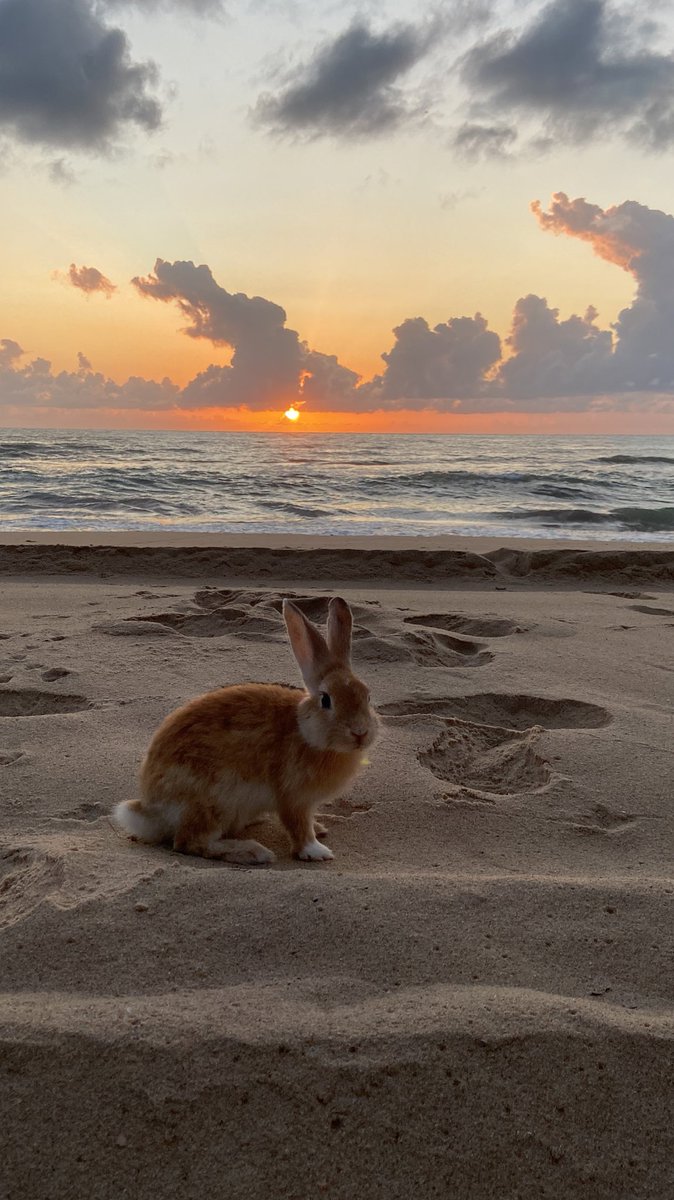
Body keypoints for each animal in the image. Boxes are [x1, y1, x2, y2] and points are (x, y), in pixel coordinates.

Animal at [112, 596, 378, 864]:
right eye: (326, 700)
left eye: (367, 696)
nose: (360, 733)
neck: (305, 731)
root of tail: (150, 810)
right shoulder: (293, 796)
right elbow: (298, 826)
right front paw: (316, 852)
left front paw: (319, 829)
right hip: (212, 802)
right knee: (190, 842)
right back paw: (254, 852)